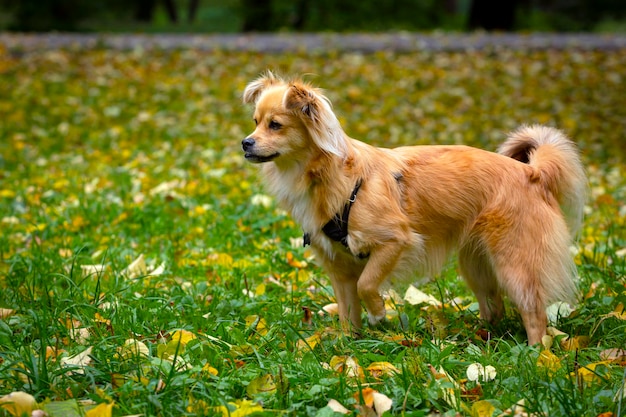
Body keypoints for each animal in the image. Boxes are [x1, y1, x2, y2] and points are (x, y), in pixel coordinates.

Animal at [240, 72, 584, 344]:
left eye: (275, 125)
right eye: (255, 123)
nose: (245, 143)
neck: (329, 176)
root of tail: (532, 172)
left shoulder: (396, 241)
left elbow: (367, 284)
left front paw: (378, 314)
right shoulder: (340, 268)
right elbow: (348, 311)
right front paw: (347, 351)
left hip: (514, 265)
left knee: (534, 312)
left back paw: (537, 356)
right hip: (476, 266)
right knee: (494, 306)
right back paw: (479, 337)